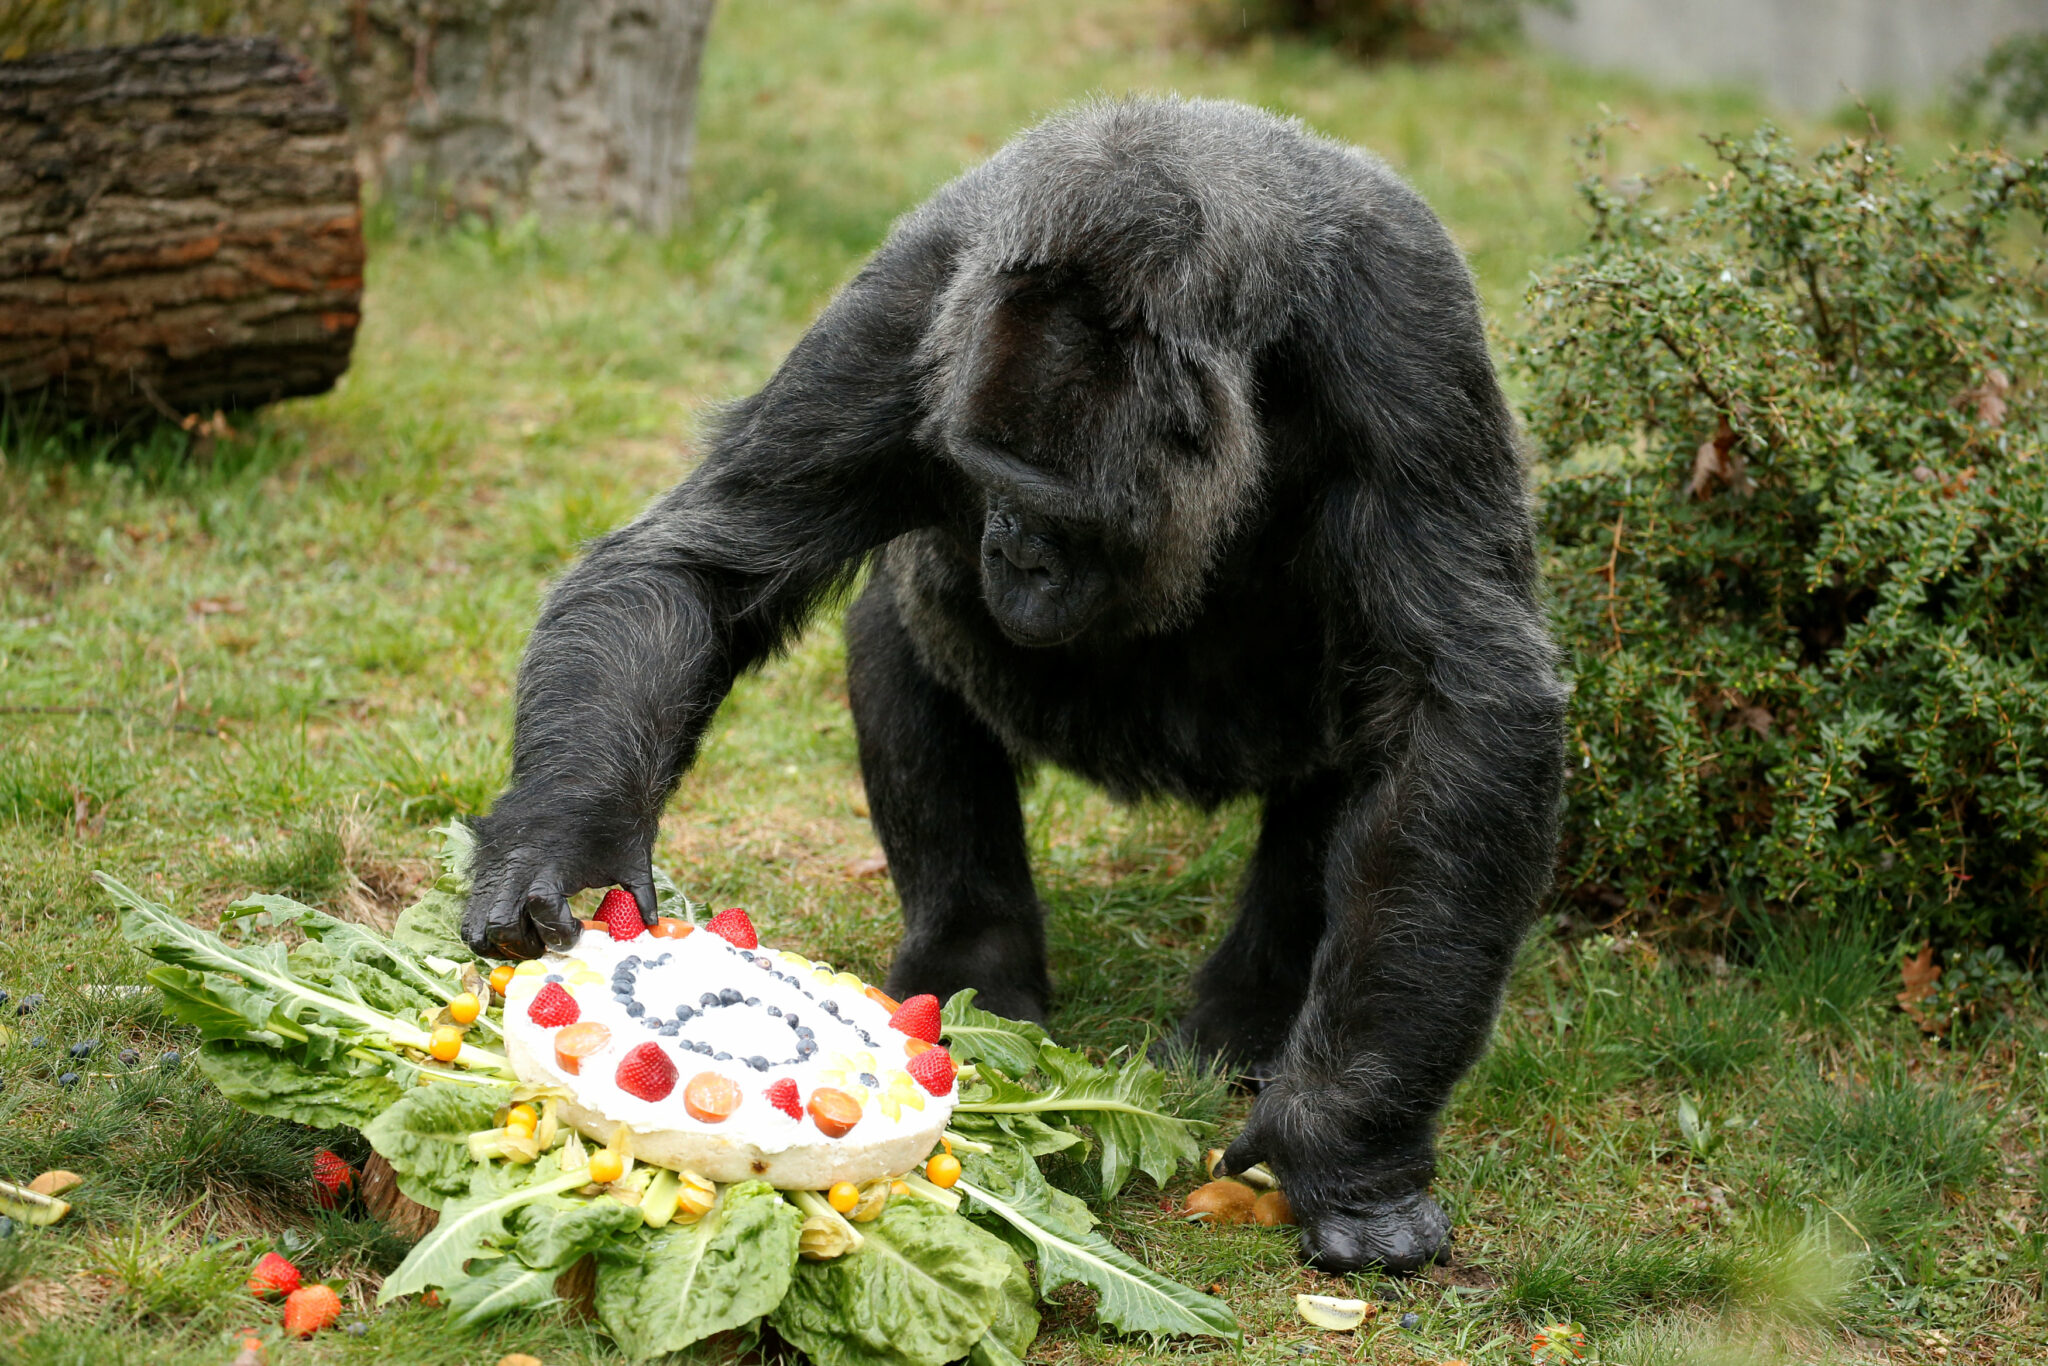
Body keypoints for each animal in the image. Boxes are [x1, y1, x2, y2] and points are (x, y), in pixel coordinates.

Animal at [464, 98, 1564, 1286]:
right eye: (984, 479)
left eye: (1054, 509)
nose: (1010, 551)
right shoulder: (903, 310)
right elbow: (700, 565)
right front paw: (565, 843)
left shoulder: (1402, 326)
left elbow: (1456, 702)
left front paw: (1345, 1140)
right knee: (906, 631)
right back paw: (972, 969)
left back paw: (1248, 1017)